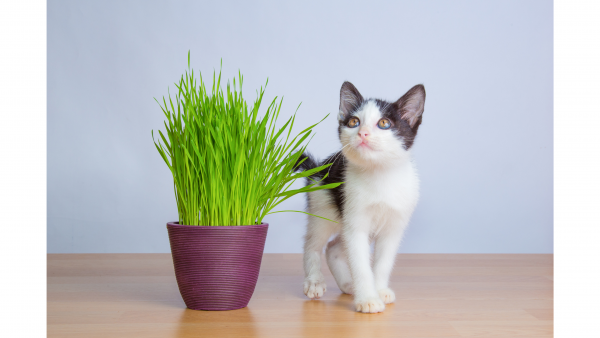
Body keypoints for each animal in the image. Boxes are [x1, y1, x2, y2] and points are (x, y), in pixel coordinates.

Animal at [298, 82, 422, 314]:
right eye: (354, 122)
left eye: (384, 123)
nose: (363, 133)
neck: (380, 176)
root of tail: (317, 170)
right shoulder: (356, 223)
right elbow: (361, 264)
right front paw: (368, 299)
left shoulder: (393, 226)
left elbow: (383, 262)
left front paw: (379, 290)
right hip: (322, 208)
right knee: (313, 244)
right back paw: (314, 281)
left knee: (333, 248)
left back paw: (347, 284)